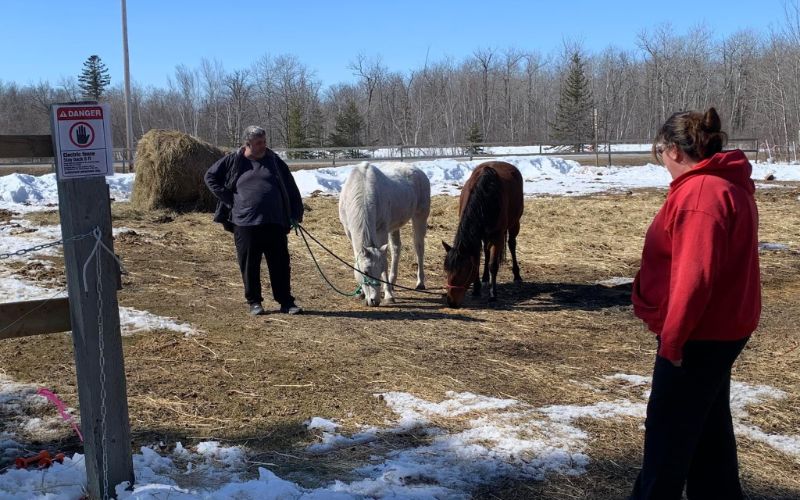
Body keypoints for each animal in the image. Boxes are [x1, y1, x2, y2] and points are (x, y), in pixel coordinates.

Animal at [338, 162, 432, 306]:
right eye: (365, 271)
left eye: (380, 270)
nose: (374, 300)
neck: (362, 187)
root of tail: (418, 171)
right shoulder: (349, 232)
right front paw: (360, 293)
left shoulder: (381, 231)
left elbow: (385, 260)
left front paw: (388, 296)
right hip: (394, 227)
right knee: (396, 248)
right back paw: (393, 282)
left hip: (420, 216)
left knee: (419, 248)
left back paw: (420, 283)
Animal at [440, 162, 520, 306]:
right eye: (446, 270)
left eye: (463, 271)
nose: (451, 302)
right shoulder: (475, 237)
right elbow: (477, 261)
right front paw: (476, 289)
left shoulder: (497, 236)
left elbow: (493, 265)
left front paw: (493, 294)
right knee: (486, 251)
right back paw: (485, 278)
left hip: (514, 224)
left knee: (512, 244)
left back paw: (517, 276)